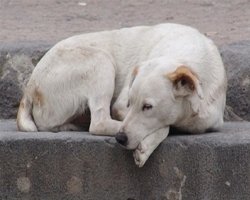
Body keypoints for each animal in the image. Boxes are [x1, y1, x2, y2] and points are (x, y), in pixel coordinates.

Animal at [16, 23, 228, 167]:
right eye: (130, 103)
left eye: (148, 107)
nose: (120, 138)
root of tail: (30, 86)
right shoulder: (120, 106)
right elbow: (164, 126)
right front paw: (146, 146)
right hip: (101, 60)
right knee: (99, 123)